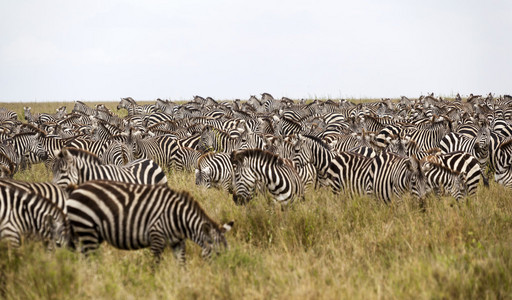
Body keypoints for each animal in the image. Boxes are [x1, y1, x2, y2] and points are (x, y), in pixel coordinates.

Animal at [66, 179, 234, 264]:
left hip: (88, 233)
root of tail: (76, 188)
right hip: (87, 229)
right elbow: (154, 266)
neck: (178, 217)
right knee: (90, 260)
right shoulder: (156, 236)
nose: (225, 274)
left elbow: (182, 264)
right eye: (218, 254)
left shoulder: (178, 242)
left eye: (227, 252)